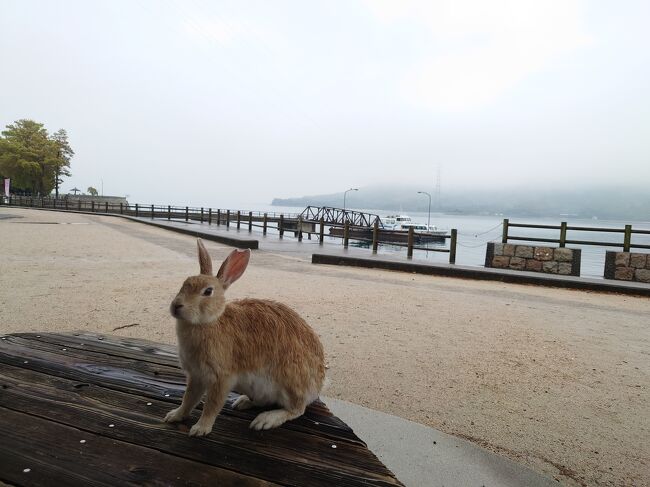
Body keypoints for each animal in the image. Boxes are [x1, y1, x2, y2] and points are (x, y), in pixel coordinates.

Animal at [162, 240, 324, 438]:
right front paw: (174, 416)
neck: (210, 321)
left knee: (296, 409)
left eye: (207, 291)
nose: (177, 306)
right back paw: (243, 402)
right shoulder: (196, 375)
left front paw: (200, 429)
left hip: (291, 381)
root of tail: (318, 385)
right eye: (184, 283)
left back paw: (265, 420)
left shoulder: (221, 377)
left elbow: (212, 405)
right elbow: (188, 399)